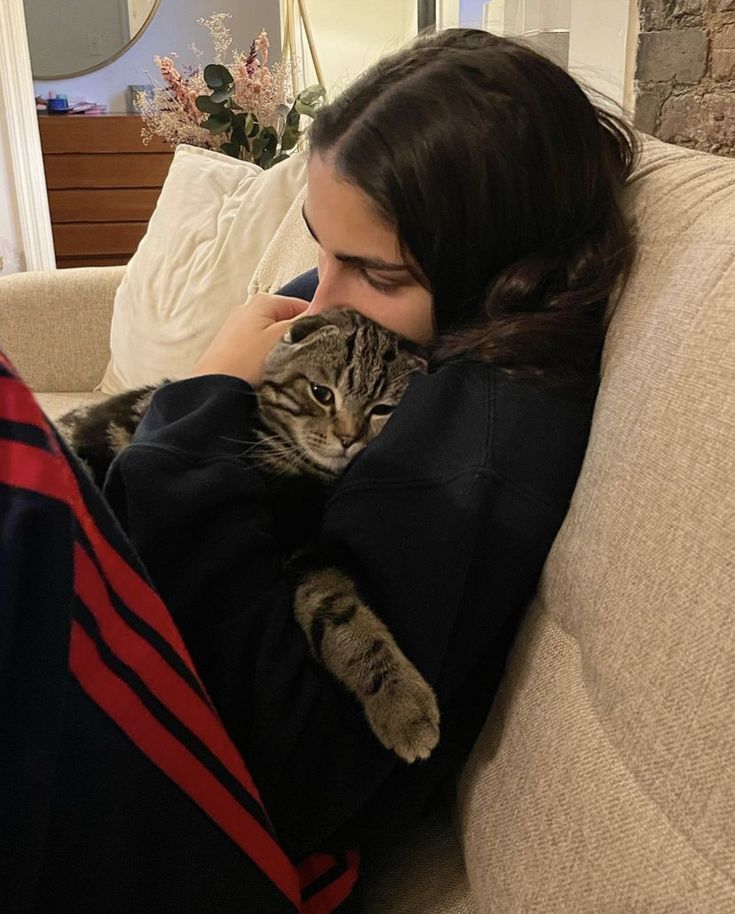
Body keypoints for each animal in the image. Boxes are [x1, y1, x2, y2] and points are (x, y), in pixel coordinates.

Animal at [59, 312, 442, 764]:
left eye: (382, 409)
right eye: (321, 393)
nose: (348, 438)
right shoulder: (297, 548)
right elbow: (342, 617)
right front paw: (402, 705)